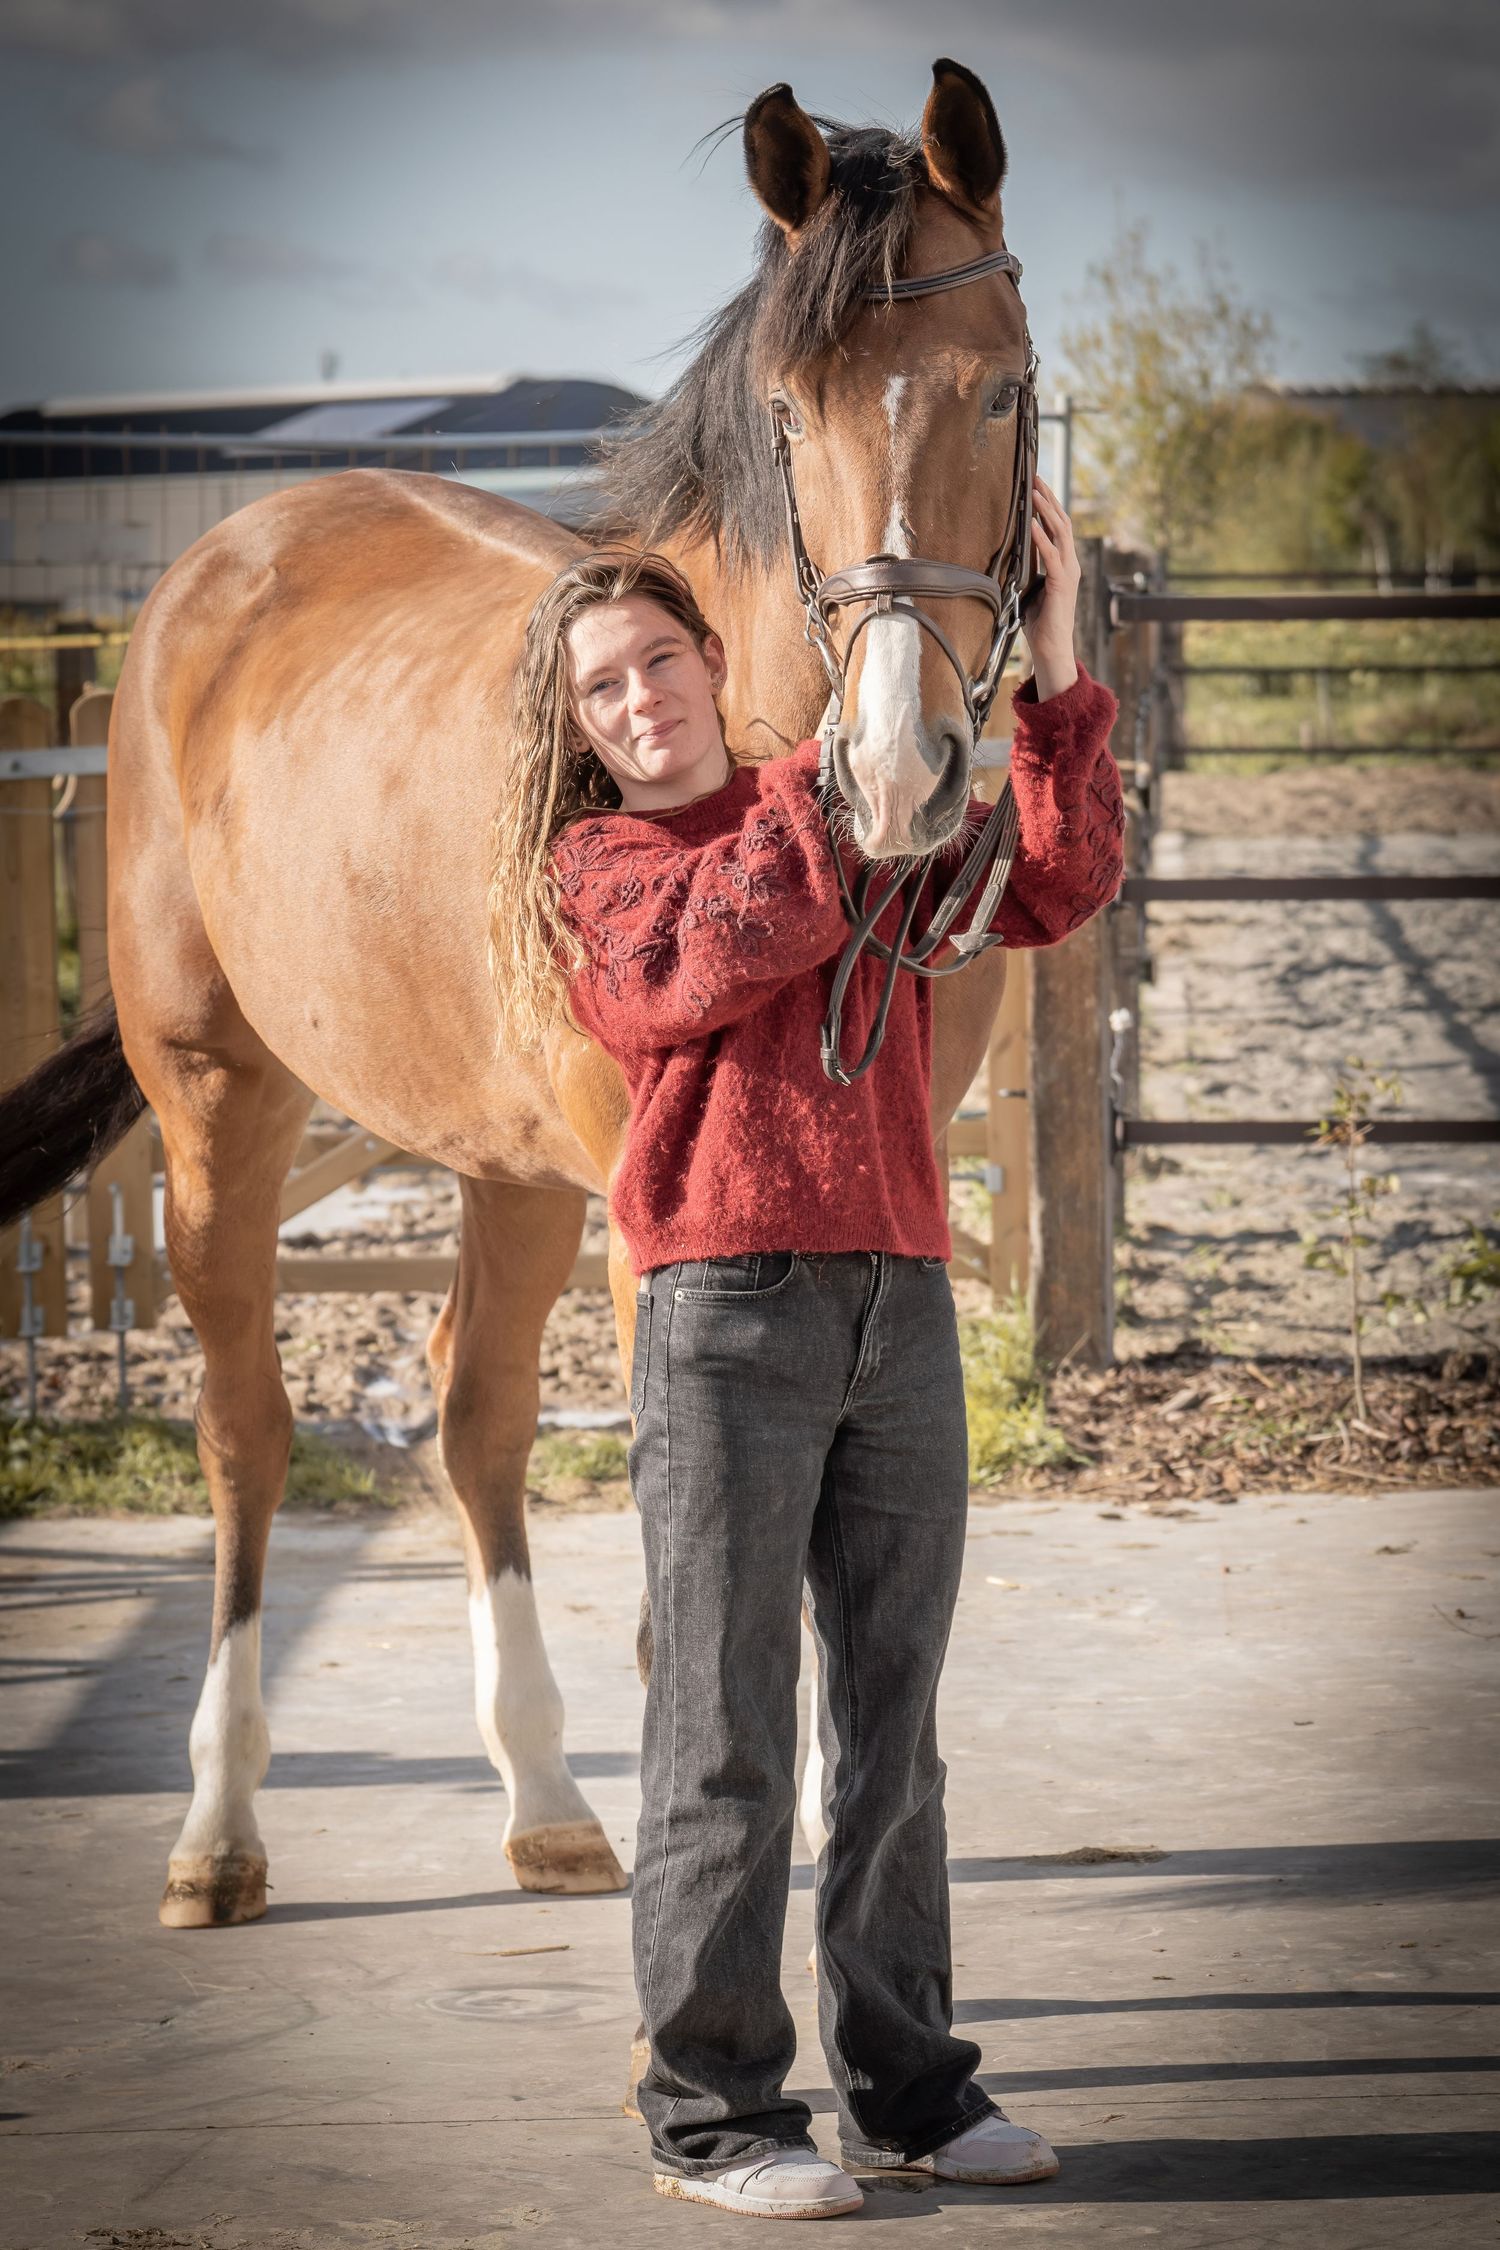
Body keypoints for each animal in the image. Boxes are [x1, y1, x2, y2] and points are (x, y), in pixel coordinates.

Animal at [0, 58, 1035, 1927]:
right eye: (789, 415)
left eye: (999, 391)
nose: (900, 767)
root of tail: (220, 560)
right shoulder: (670, 1249)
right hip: (221, 1113)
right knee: (247, 1429)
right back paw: (218, 1831)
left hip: (507, 1169)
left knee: (473, 1413)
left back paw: (549, 1801)